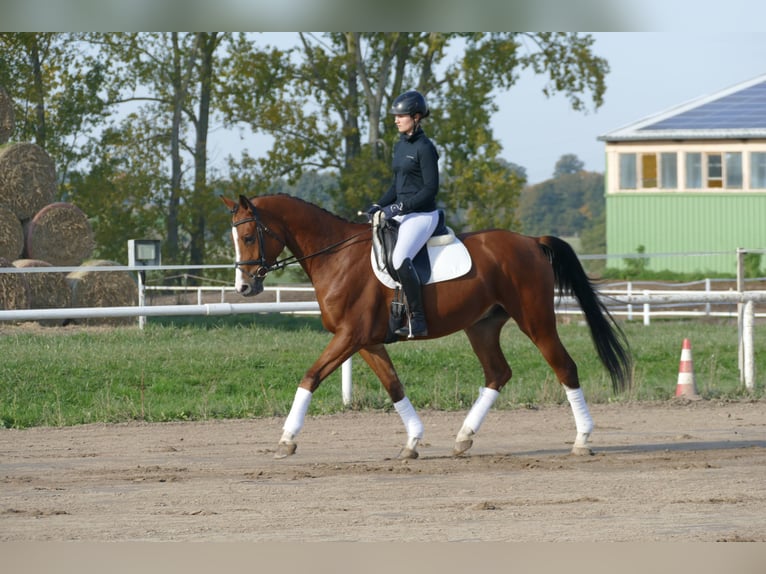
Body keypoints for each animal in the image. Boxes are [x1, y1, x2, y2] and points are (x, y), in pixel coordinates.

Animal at [220, 196, 632, 462]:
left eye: (249, 237)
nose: (244, 288)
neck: (336, 256)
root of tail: (531, 242)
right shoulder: (365, 341)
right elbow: (393, 385)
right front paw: (413, 441)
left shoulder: (349, 336)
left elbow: (310, 377)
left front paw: (287, 439)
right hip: (482, 326)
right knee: (498, 373)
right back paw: (463, 438)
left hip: (536, 321)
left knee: (564, 367)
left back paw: (582, 440)